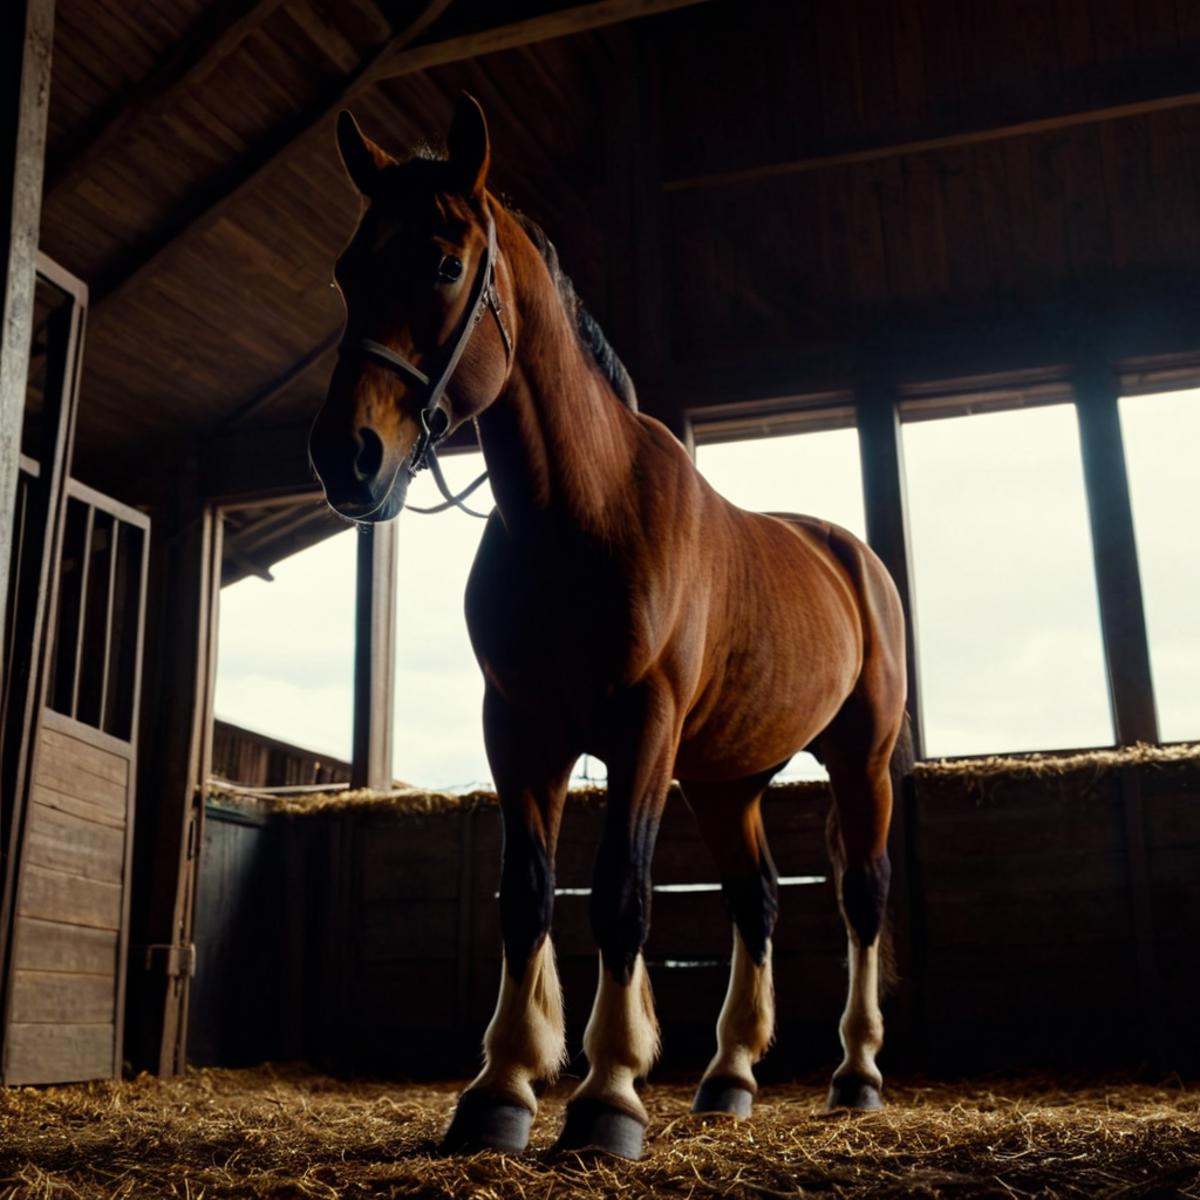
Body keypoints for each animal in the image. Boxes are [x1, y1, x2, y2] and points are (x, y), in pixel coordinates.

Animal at [309, 94, 910, 1161]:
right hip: (727, 782)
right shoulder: (520, 730)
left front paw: (608, 1098)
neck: (584, 509)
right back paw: (728, 1078)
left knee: (861, 901)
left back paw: (857, 1075)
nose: (349, 458)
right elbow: (528, 895)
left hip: (860, 761)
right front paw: (500, 1089)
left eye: (443, 263)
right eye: (347, 269)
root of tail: (852, 557)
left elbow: (622, 895)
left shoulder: (643, 728)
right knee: (756, 901)